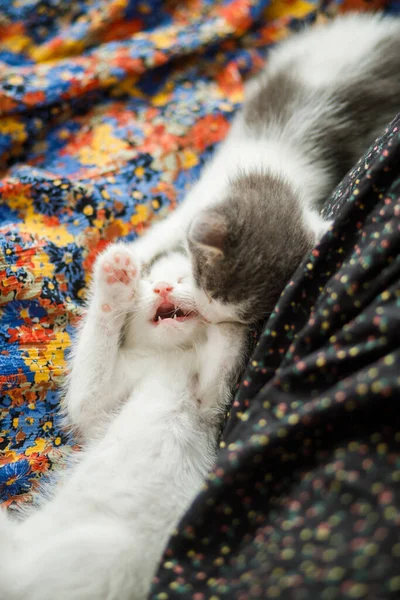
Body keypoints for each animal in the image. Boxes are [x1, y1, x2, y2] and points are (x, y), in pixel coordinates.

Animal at [132, 12, 400, 324]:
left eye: (242, 317)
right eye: (207, 289)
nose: (208, 316)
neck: (272, 172)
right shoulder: (207, 190)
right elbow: (171, 226)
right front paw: (137, 252)